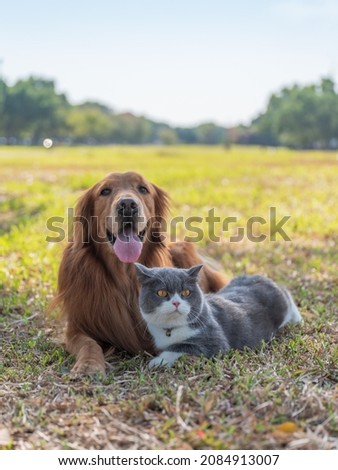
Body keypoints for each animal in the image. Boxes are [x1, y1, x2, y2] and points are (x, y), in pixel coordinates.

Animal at [54, 172, 226, 374]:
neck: (126, 275)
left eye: (143, 189)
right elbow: (88, 344)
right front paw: (89, 365)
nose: (127, 205)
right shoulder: (78, 325)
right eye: (105, 191)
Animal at [133, 264, 302, 368]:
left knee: (286, 293)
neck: (171, 329)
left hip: (281, 304)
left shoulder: (214, 340)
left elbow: (182, 346)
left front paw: (157, 361)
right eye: (161, 292)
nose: (176, 302)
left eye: (186, 292)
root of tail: (262, 277)